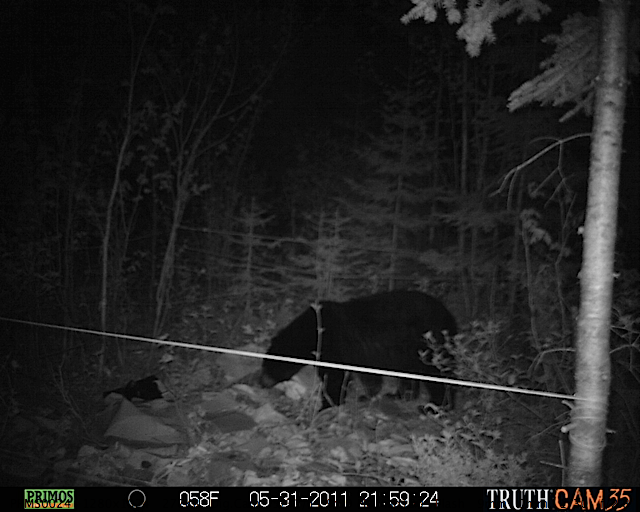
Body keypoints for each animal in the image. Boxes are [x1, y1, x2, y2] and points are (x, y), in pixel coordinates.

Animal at [258, 290, 458, 410]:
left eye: (267, 365)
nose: (261, 383)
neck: (312, 331)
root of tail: (450, 317)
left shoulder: (335, 344)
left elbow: (335, 376)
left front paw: (328, 403)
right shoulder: (363, 354)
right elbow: (368, 376)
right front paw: (368, 396)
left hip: (431, 345)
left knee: (439, 376)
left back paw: (435, 406)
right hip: (410, 354)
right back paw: (399, 395)